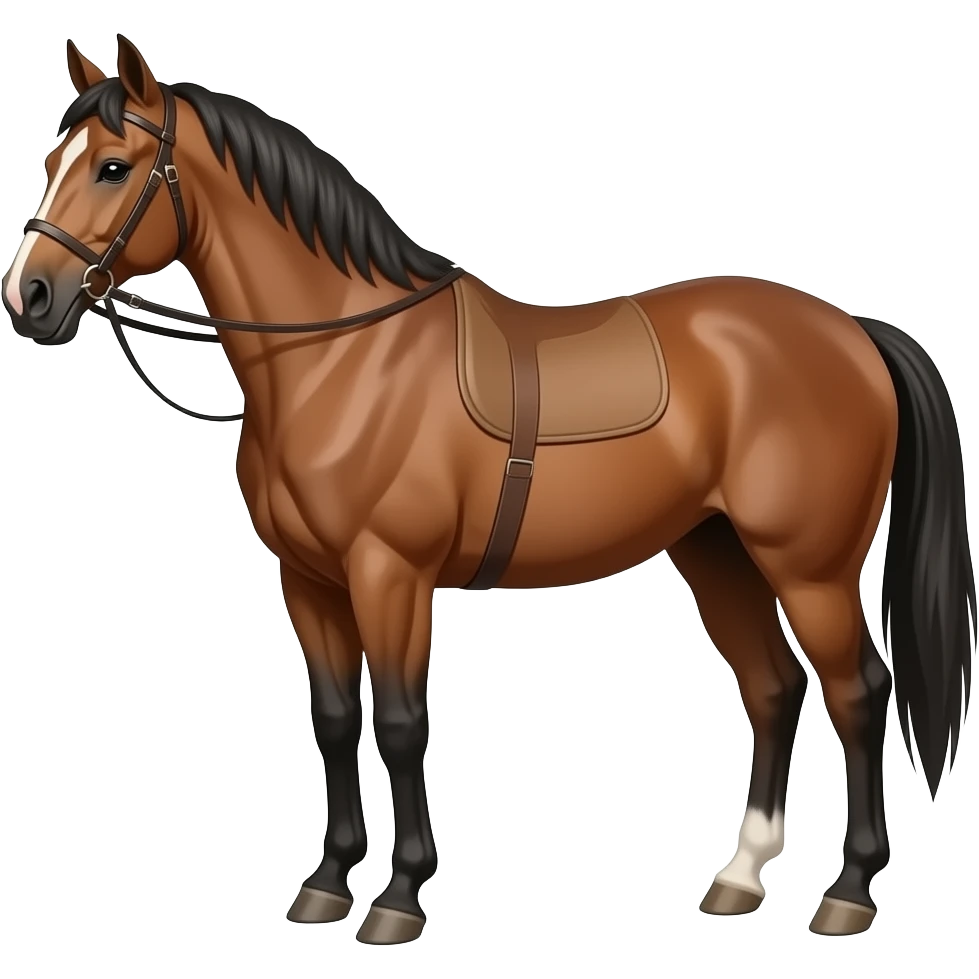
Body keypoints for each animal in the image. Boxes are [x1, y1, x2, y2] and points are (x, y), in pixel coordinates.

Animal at [2, 35, 974, 943]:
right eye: (53, 163)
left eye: (113, 166)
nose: (31, 298)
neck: (344, 357)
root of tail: (852, 329)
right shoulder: (307, 580)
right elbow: (332, 717)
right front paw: (326, 882)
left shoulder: (389, 575)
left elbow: (400, 722)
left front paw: (398, 897)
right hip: (716, 552)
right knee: (772, 686)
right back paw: (739, 875)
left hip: (809, 569)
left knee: (857, 693)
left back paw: (847, 890)